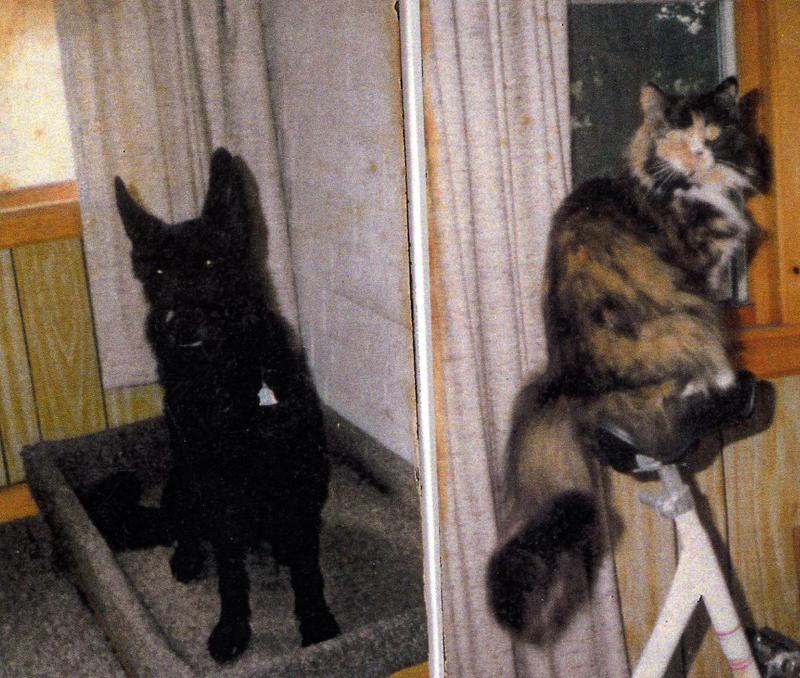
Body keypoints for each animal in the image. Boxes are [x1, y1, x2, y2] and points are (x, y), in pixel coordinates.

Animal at [111, 149, 338, 664]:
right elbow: (231, 574)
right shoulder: (214, 489)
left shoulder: (296, 480)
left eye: (211, 261)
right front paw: (232, 628)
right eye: (158, 274)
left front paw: (316, 622)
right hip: (181, 482)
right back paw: (188, 555)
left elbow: (307, 570)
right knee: (186, 527)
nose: (178, 324)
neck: (224, 385)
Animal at [488, 78, 768, 644]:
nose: (698, 153)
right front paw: (725, 380)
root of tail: (569, 378)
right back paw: (721, 386)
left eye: (711, 132)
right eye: (678, 136)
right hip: (684, 318)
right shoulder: (701, 280)